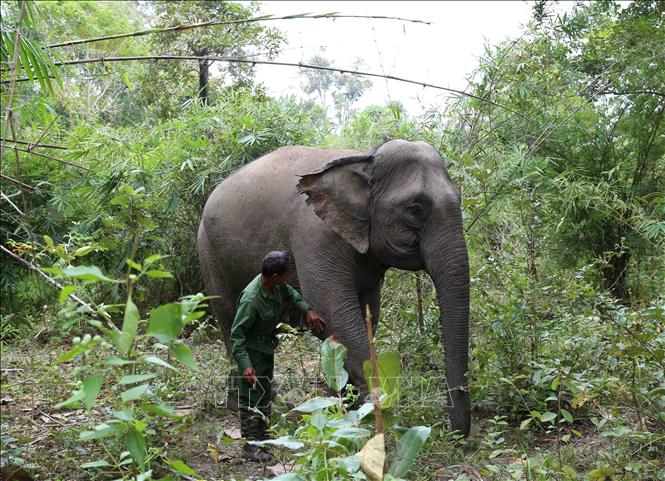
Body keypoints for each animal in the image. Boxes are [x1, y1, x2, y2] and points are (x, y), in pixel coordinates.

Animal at [197, 139, 472, 436]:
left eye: (460, 198)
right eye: (414, 209)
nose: (456, 433)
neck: (365, 159)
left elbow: (367, 315)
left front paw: (342, 409)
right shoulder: (317, 237)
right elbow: (333, 314)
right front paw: (377, 414)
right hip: (209, 255)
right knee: (230, 321)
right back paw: (241, 405)